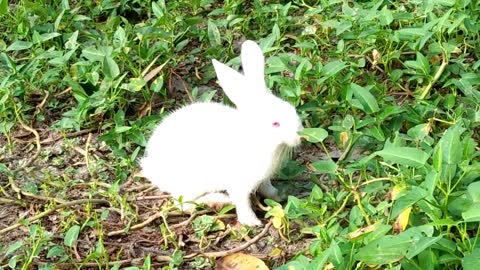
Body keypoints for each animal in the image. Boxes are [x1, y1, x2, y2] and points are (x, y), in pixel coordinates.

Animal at [140, 40, 304, 226]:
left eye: (293, 110)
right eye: (275, 124)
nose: (300, 135)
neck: (258, 138)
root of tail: (150, 165)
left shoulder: (263, 179)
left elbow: (267, 189)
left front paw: (279, 196)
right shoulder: (239, 183)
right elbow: (242, 203)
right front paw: (252, 222)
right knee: (184, 204)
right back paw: (219, 201)